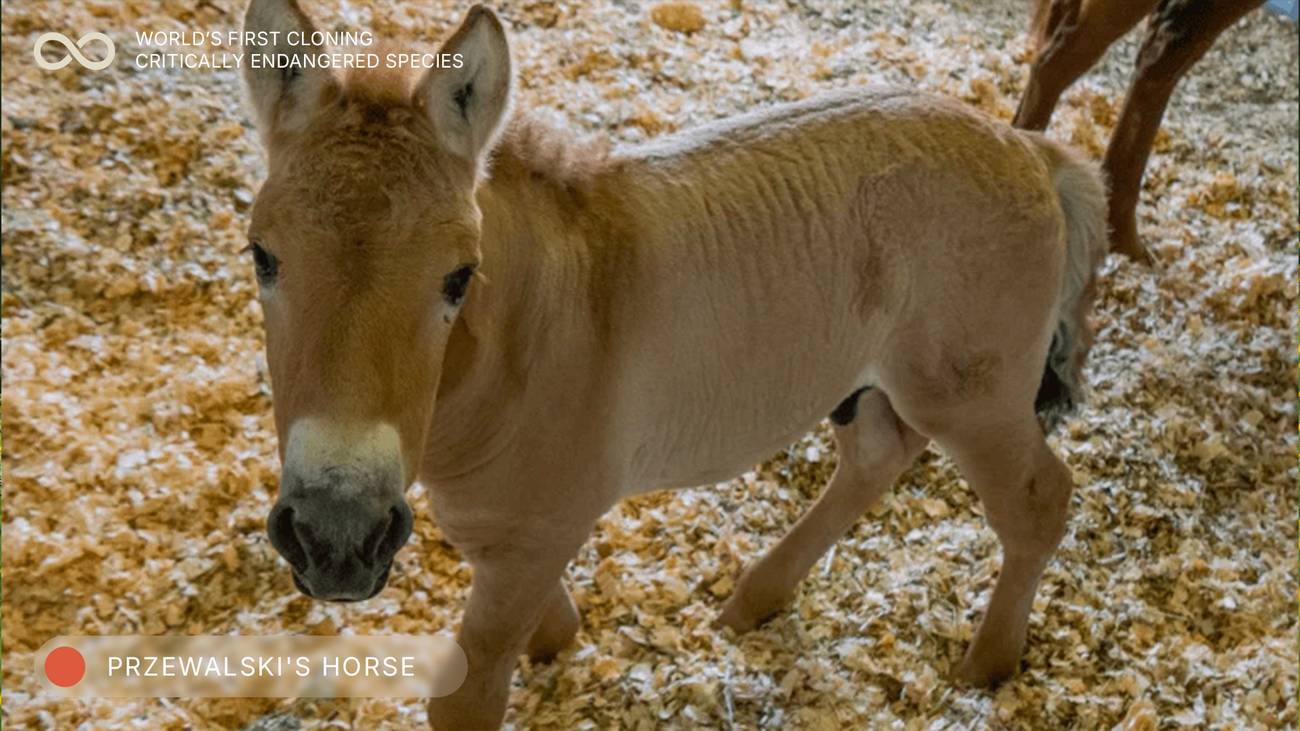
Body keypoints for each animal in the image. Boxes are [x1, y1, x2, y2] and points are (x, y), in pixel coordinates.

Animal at [240, 2, 1108, 727]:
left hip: (972, 396)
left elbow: (471, 691)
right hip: (872, 382)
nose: (335, 534)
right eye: (262, 256)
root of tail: (1030, 149)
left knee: (1038, 500)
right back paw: (756, 598)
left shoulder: (537, 531)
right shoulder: (498, 523)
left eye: (459, 276)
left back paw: (988, 663)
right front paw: (559, 639)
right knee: (877, 456)